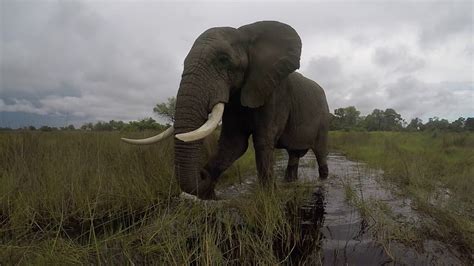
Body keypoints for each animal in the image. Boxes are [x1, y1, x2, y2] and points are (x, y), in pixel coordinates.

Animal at [122, 21, 328, 200]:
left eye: (223, 60)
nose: (201, 173)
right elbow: (233, 143)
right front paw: (209, 195)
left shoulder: (275, 93)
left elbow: (262, 141)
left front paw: (268, 198)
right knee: (294, 155)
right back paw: (290, 182)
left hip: (324, 117)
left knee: (320, 151)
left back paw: (322, 179)